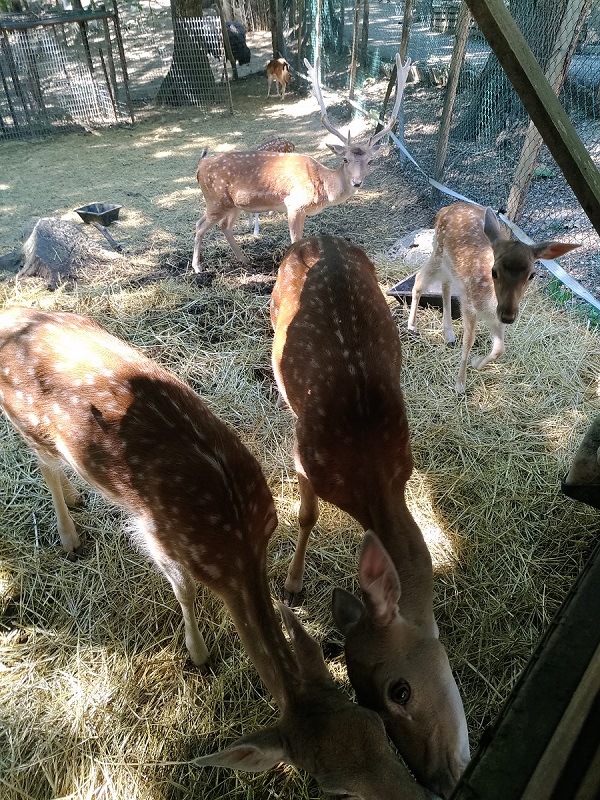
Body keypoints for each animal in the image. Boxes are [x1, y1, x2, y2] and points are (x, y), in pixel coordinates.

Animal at [0, 305, 440, 800]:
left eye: (376, 725)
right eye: (331, 786)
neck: (237, 553)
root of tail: (12, 314)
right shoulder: (162, 534)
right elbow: (186, 591)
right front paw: (199, 655)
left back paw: (78, 498)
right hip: (26, 423)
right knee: (44, 466)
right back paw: (70, 537)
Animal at [191, 52, 411, 271]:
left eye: (370, 161)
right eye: (345, 159)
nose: (357, 182)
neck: (322, 188)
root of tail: (200, 167)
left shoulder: (303, 211)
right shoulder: (294, 204)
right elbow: (295, 241)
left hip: (232, 204)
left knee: (224, 226)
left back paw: (244, 259)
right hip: (215, 199)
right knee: (200, 225)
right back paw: (197, 267)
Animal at [270, 235, 470, 799]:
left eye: (396, 691)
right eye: (382, 701)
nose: (441, 783)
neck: (371, 477)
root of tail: (317, 238)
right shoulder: (304, 457)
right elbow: (306, 514)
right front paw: (291, 585)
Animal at [407, 202, 580, 393]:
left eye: (532, 275)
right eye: (494, 271)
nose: (508, 316)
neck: (489, 304)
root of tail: (445, 208)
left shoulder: (495, 318)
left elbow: (499, 349)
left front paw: (476, 363)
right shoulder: (468, 304)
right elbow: (468, 340)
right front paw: (460, 384)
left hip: (449, 268)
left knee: (445, 285)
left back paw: (449, 335)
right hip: (437, 252)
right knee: (419, 279)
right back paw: (412, 326)